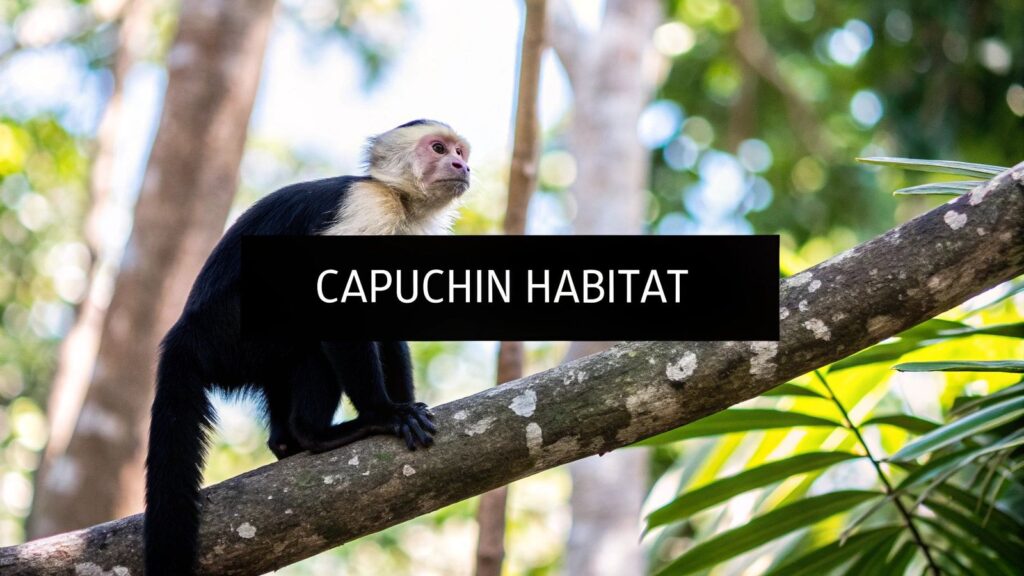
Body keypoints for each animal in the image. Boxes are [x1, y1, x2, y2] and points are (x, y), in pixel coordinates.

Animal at [143, 119, 471, 576]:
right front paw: (386, 413)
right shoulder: (367, 209)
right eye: (439, 149)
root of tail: (182, 336)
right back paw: (315, 434)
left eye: (460, 152)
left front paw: (406, 406)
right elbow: (338, 307)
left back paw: (288, 443)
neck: (400, 202)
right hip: (230, 332)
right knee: (308, 340)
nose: (461, 165)